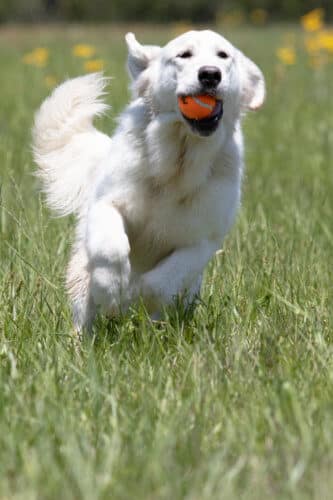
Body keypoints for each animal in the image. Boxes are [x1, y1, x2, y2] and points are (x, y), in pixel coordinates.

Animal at [33, 28, 264, 332]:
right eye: (183, 55)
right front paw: (111, 292)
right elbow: (112, 249)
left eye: (223, 56)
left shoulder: (204, 240)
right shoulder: (106, 205)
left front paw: (136, 299)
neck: (176, 160)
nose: (210, 74)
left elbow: (159, 283)